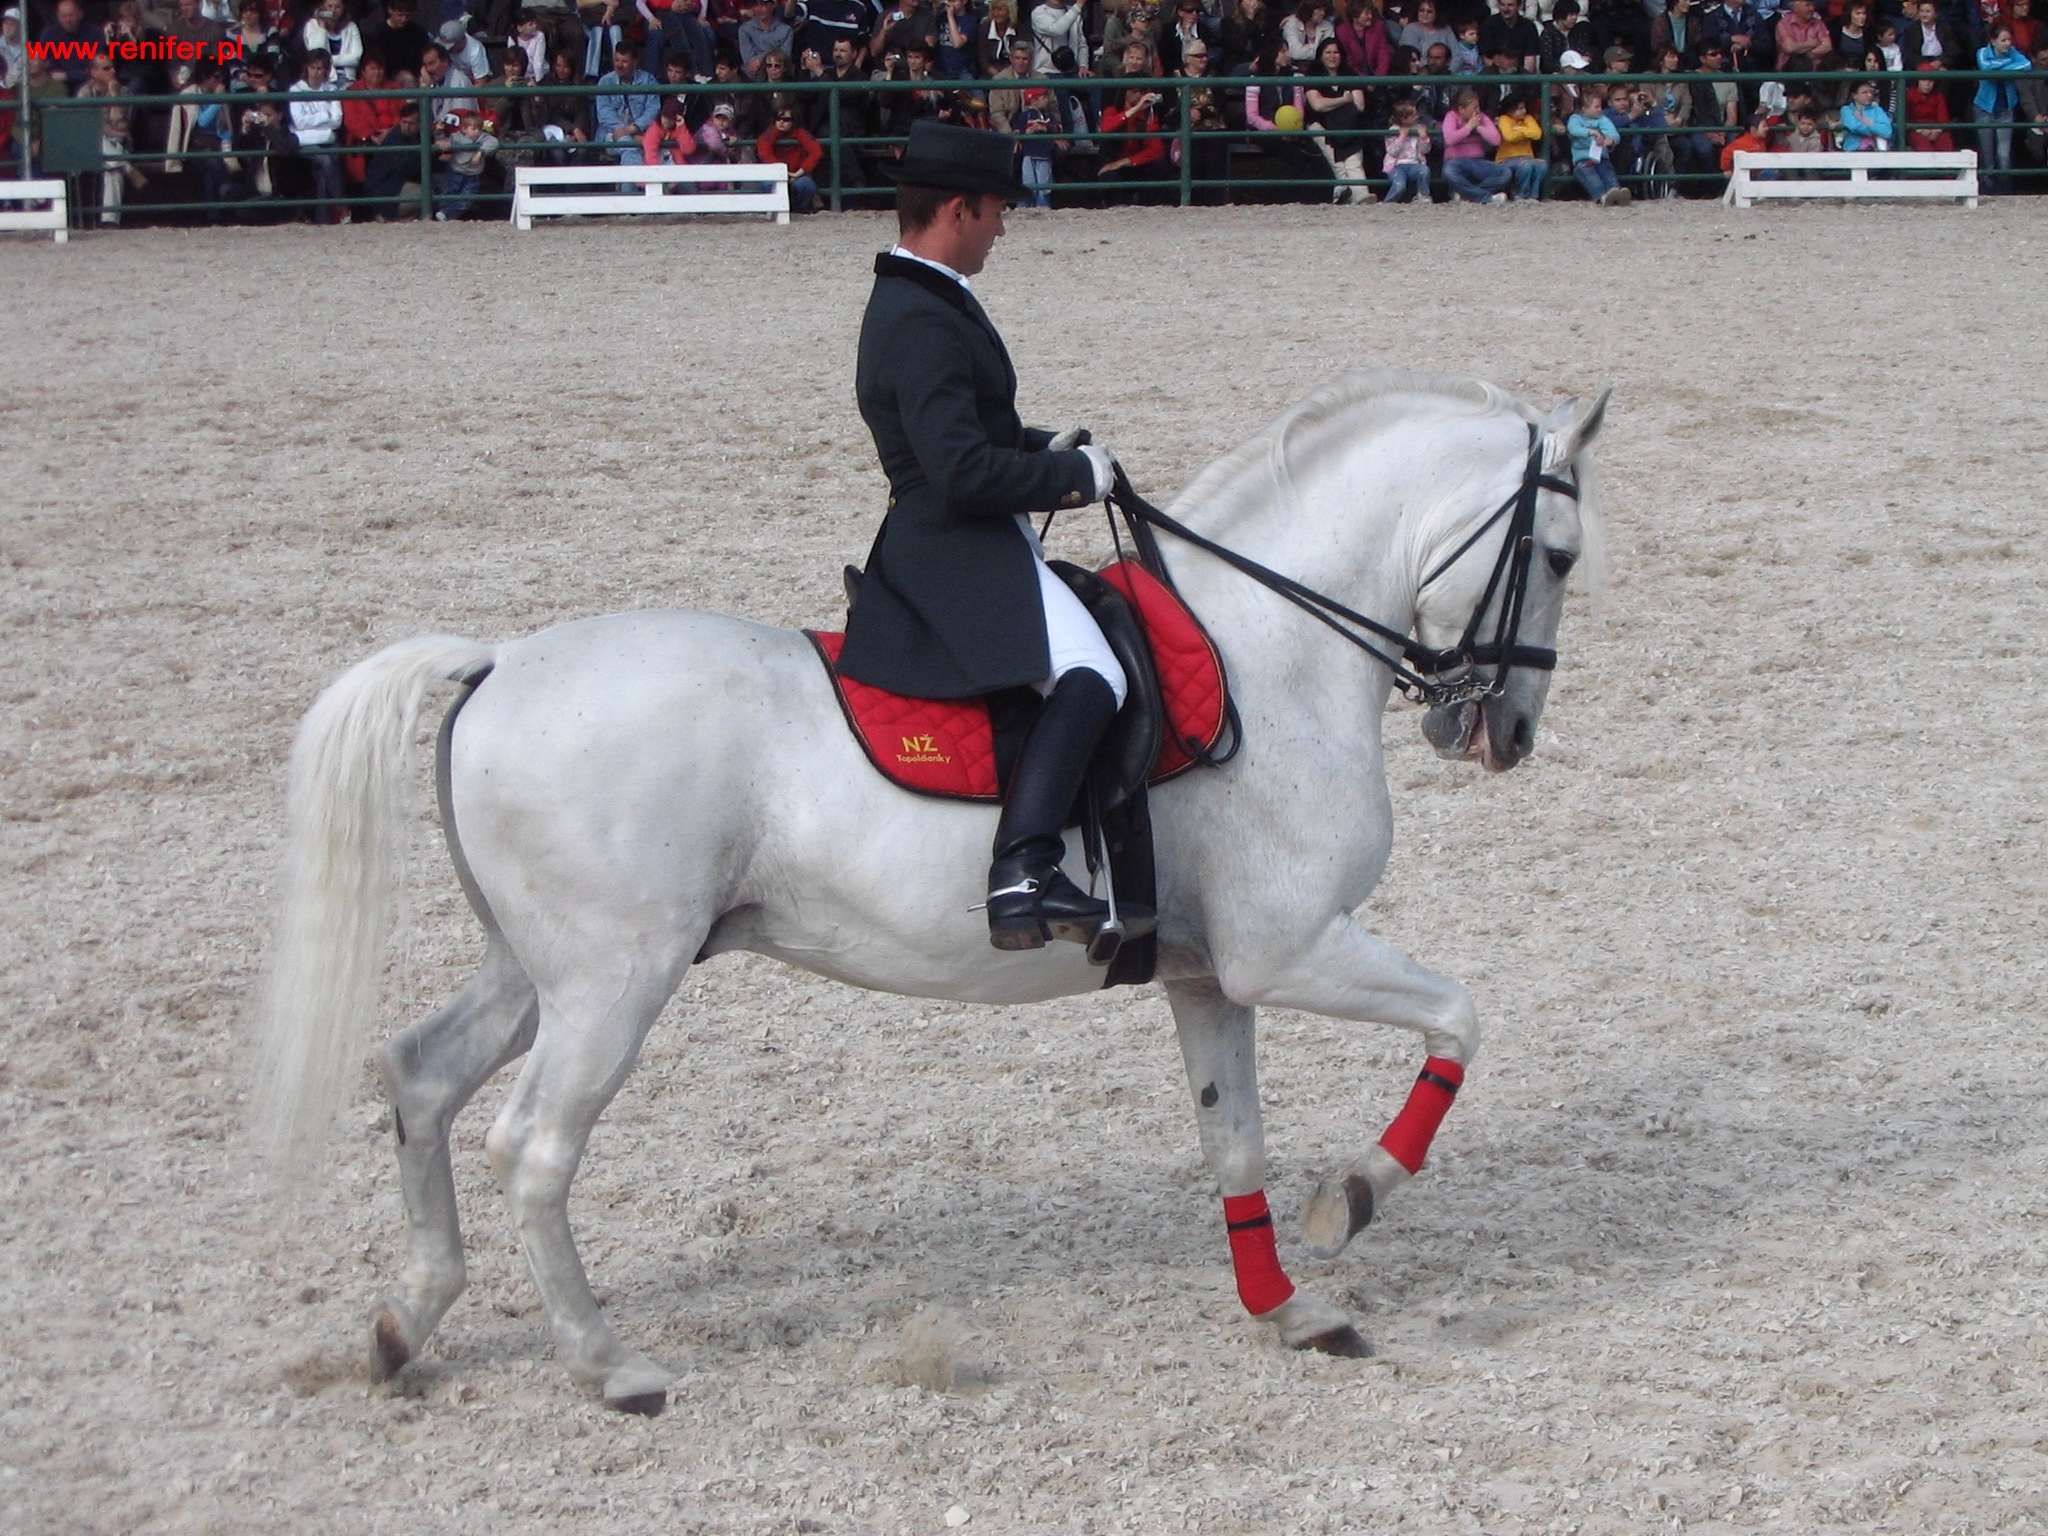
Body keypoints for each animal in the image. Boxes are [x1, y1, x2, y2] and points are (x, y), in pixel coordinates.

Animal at [253, 370, 1609, 1415]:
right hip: (611, 983)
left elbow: (1235, 1141)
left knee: (420, 1076)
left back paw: (403, 1325)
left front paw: (1286, 1312)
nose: (1506, 734)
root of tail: (492, 663)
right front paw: (1353, 1201)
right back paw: (609, 1367)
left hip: (538, 969)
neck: (1263, 651)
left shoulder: (1206, 975)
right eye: (1554, 554)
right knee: (532, 1147)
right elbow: (1459, 1018)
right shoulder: (1290, 949)